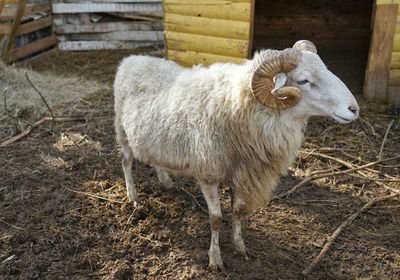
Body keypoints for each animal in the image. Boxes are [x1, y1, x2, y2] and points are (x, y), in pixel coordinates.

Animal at [112, 40, 360, 270]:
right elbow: (216, 219)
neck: (236, 106)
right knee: (125, 162)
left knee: (155, 160)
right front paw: (215, 259)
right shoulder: (208, 174)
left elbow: (238, 212)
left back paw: (165, 180)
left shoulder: (242, 174)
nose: (354, 109)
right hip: (122, 132)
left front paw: (240, 247)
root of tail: (132, 59)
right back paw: (133, 197)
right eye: (303, 81)